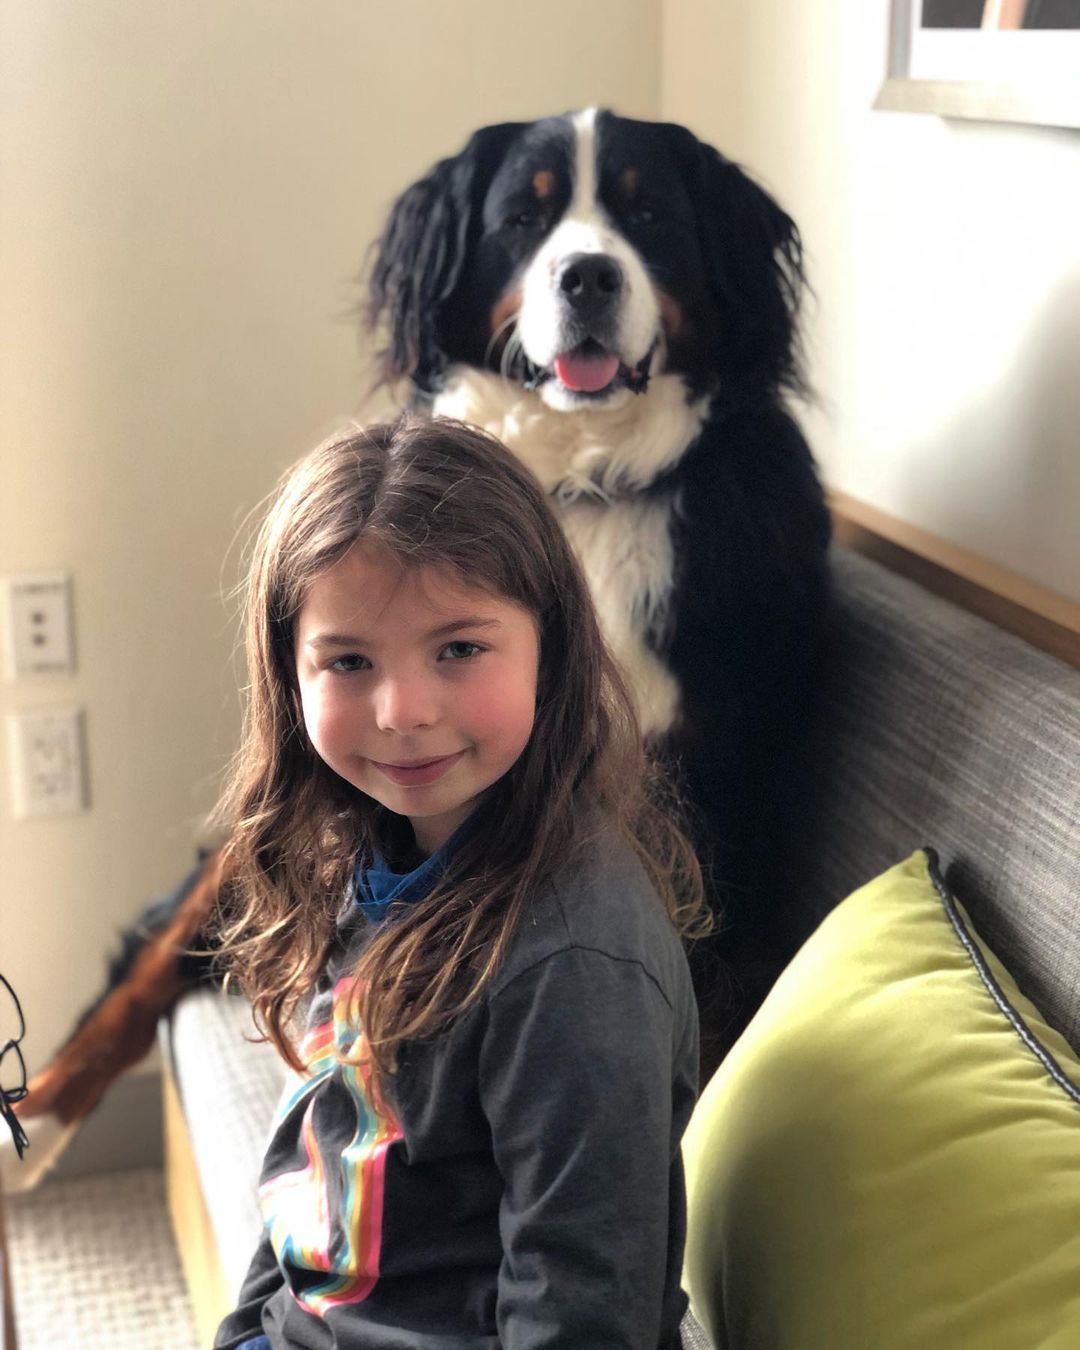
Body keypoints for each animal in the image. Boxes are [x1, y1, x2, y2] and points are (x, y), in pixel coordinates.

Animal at [8, 108, 831, 1182]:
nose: (589, 276)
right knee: (165, 942)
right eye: (525, 219)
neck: (579, 479)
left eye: (648, 212)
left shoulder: (718, 798)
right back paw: (43, 1114)